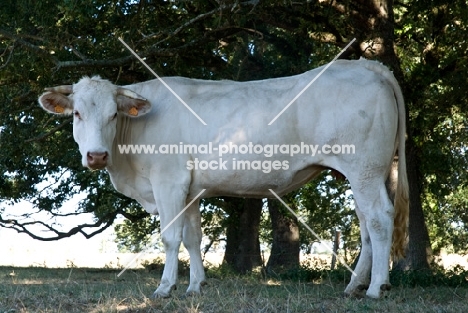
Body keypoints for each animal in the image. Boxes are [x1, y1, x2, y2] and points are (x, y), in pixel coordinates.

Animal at [38, 58, 408, 298]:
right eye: (77, 113)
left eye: (114, 114)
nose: (97, 155)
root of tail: (365, 64)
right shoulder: (188, 189)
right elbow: (192, 238)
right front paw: (195, 286)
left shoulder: (168, 182)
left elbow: (170, 238)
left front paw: (165, 287)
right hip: (361, 174)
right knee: (365, 223)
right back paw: (354, 285)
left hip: (364, 168)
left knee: (379, 218)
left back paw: (377, 288)